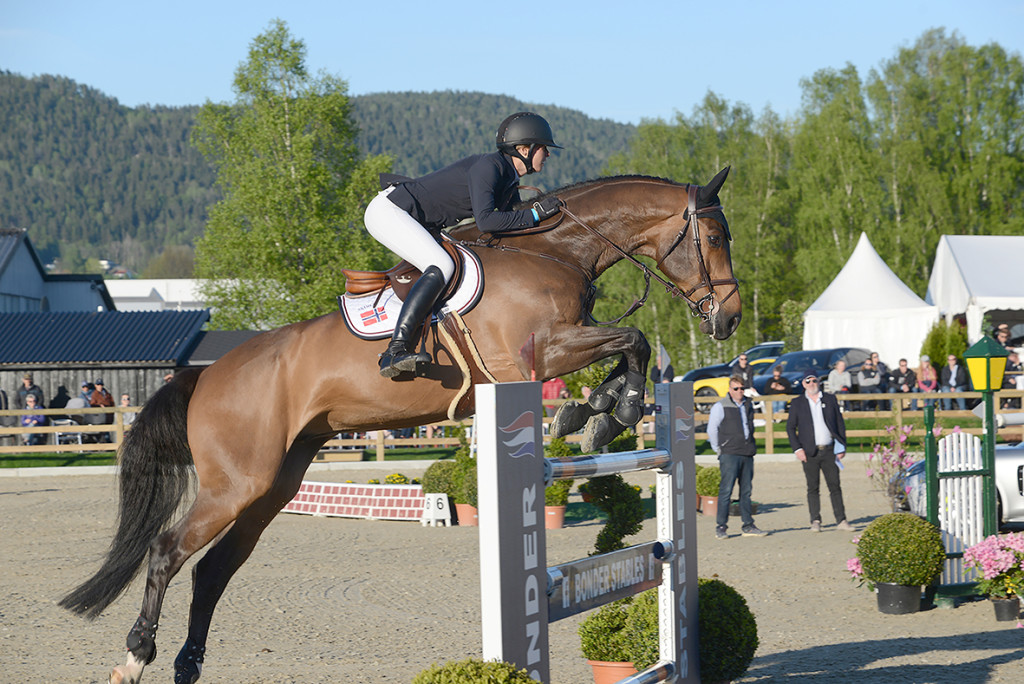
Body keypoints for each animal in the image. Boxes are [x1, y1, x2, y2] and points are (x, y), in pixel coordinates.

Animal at [60, 167, 741, 684]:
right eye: (712, 235)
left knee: (212, 570)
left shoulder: (560, 346)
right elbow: (633, 338)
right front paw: (604, 412)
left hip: (272, 485)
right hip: (236, 483)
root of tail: (204, 376)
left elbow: (630, 346)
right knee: (166, 552)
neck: (553, 249)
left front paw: (599, 411)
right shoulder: (538, 355)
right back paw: (135, 657)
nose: (730, 318)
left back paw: (188, 664)